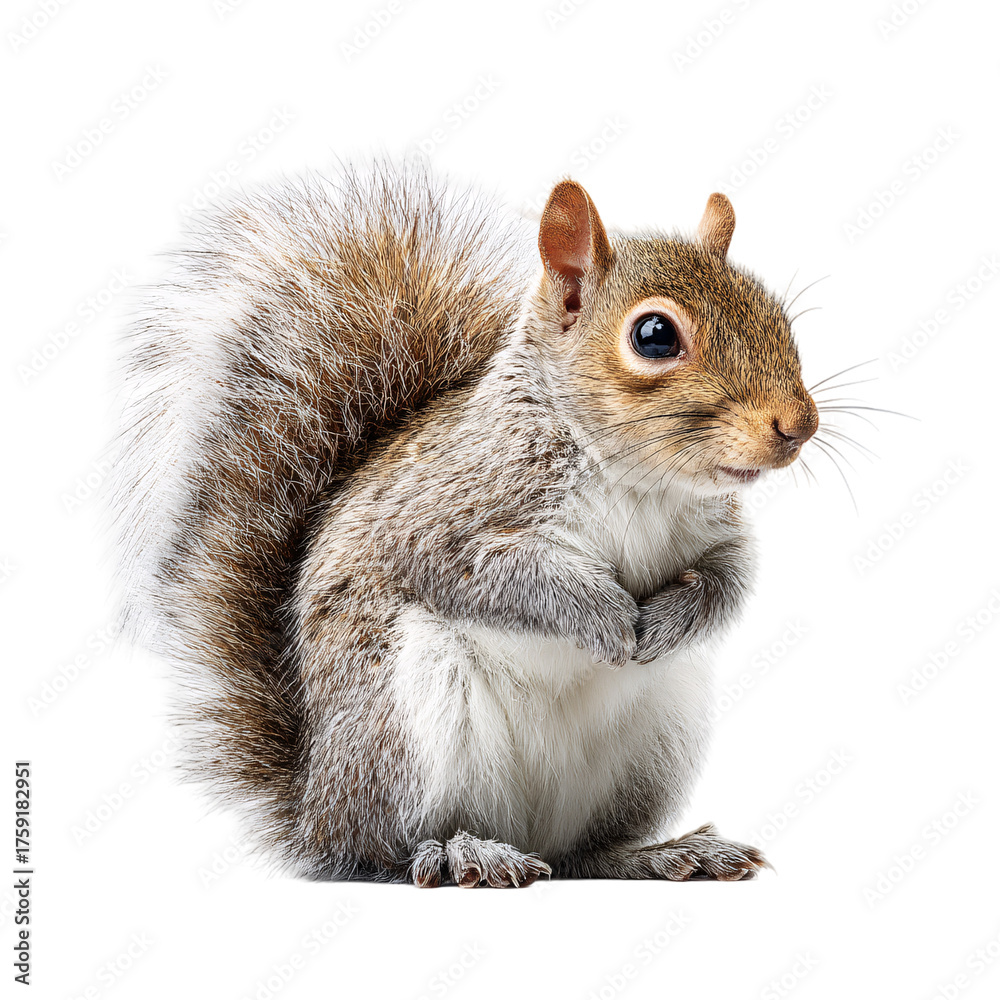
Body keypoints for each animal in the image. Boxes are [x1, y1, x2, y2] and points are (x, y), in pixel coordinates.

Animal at [113, 158, 819, 887]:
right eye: (654, 336)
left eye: (775, 313)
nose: (800, 426)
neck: (638, 482)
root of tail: (315, 804)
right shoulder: (438, 514)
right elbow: (484, 575)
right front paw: (601, 615)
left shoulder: (718, 531)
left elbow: (728, 579)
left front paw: (671, 621)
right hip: (404, 722)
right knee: (382, 852)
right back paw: (460, 854)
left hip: (657, 733)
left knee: (585, 854)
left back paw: (659, 853)